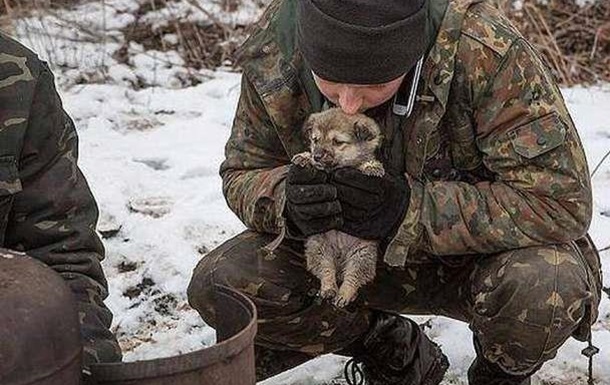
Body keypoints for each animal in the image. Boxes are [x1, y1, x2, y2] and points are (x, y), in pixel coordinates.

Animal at [290, 107, 382, 306]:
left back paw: (344, 295)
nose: (317, 156)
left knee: (352, 279)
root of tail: (340, 261)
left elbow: (366, 163)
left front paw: (372, 167)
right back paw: (329, 289)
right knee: (326, 272)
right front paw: (304, 157)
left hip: (362, 256)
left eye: (337, 142)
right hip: (318, 248)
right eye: (315, 140)